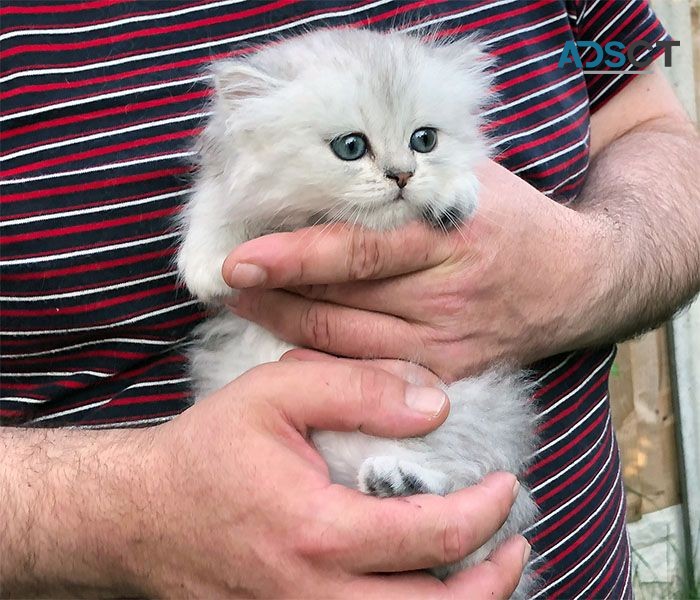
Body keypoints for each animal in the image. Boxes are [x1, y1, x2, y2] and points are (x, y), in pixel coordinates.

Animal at [178, 27, 540, 596]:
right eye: (350, 147)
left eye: (424, 140)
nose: (402, 176)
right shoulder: (236, 181)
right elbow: (214, 200)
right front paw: (207, 263)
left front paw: (454, 193)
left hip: (475, 422)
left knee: (467, 496)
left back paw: (399, 480)